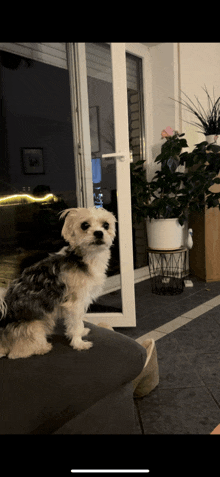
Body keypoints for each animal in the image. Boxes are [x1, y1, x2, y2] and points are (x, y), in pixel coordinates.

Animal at [0, 206, 116, 358]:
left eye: (106, 225)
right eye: (84, 225)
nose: (99, 233)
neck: (85, 257)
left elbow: (78, 322)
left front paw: (81, 332)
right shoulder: (75, 303)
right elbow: (75, 323)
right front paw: (79, 343)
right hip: (37, 325)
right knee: (17, 353)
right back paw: (43, 347)